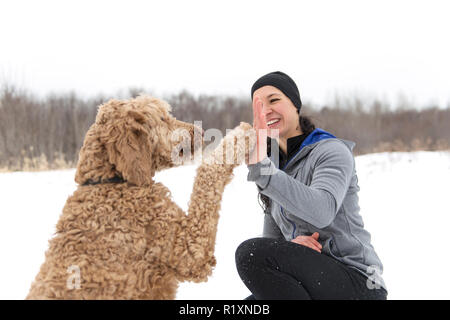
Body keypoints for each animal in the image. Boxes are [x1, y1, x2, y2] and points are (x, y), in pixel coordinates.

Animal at [26, 95, 255, 300]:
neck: (112, 181)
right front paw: (241, 137)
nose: (202, 131)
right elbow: (208, 173)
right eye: (162, 118)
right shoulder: (189, 250)